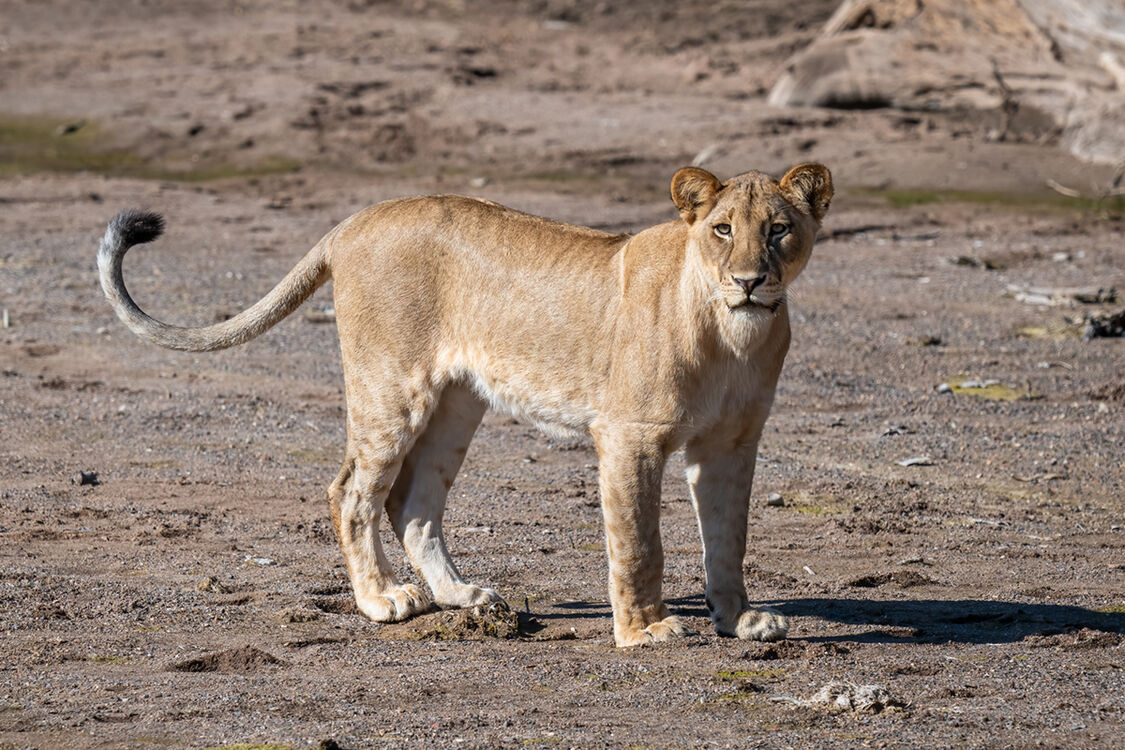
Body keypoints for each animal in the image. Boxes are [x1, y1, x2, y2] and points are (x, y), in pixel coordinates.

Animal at [98, 163, 832, 647]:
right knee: (352, 491)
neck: (734, 335)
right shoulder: (630, 437)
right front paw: (644, 630)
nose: (749, 280)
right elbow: (638, 541)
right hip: (390, 387)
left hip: (456, 403)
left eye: (778, 230)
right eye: (722, 230)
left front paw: (741, 619)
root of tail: (352, 221)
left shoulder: (731, 445)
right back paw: (381, 600)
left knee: (413, 503)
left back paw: (463, 596)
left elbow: (729, 538)